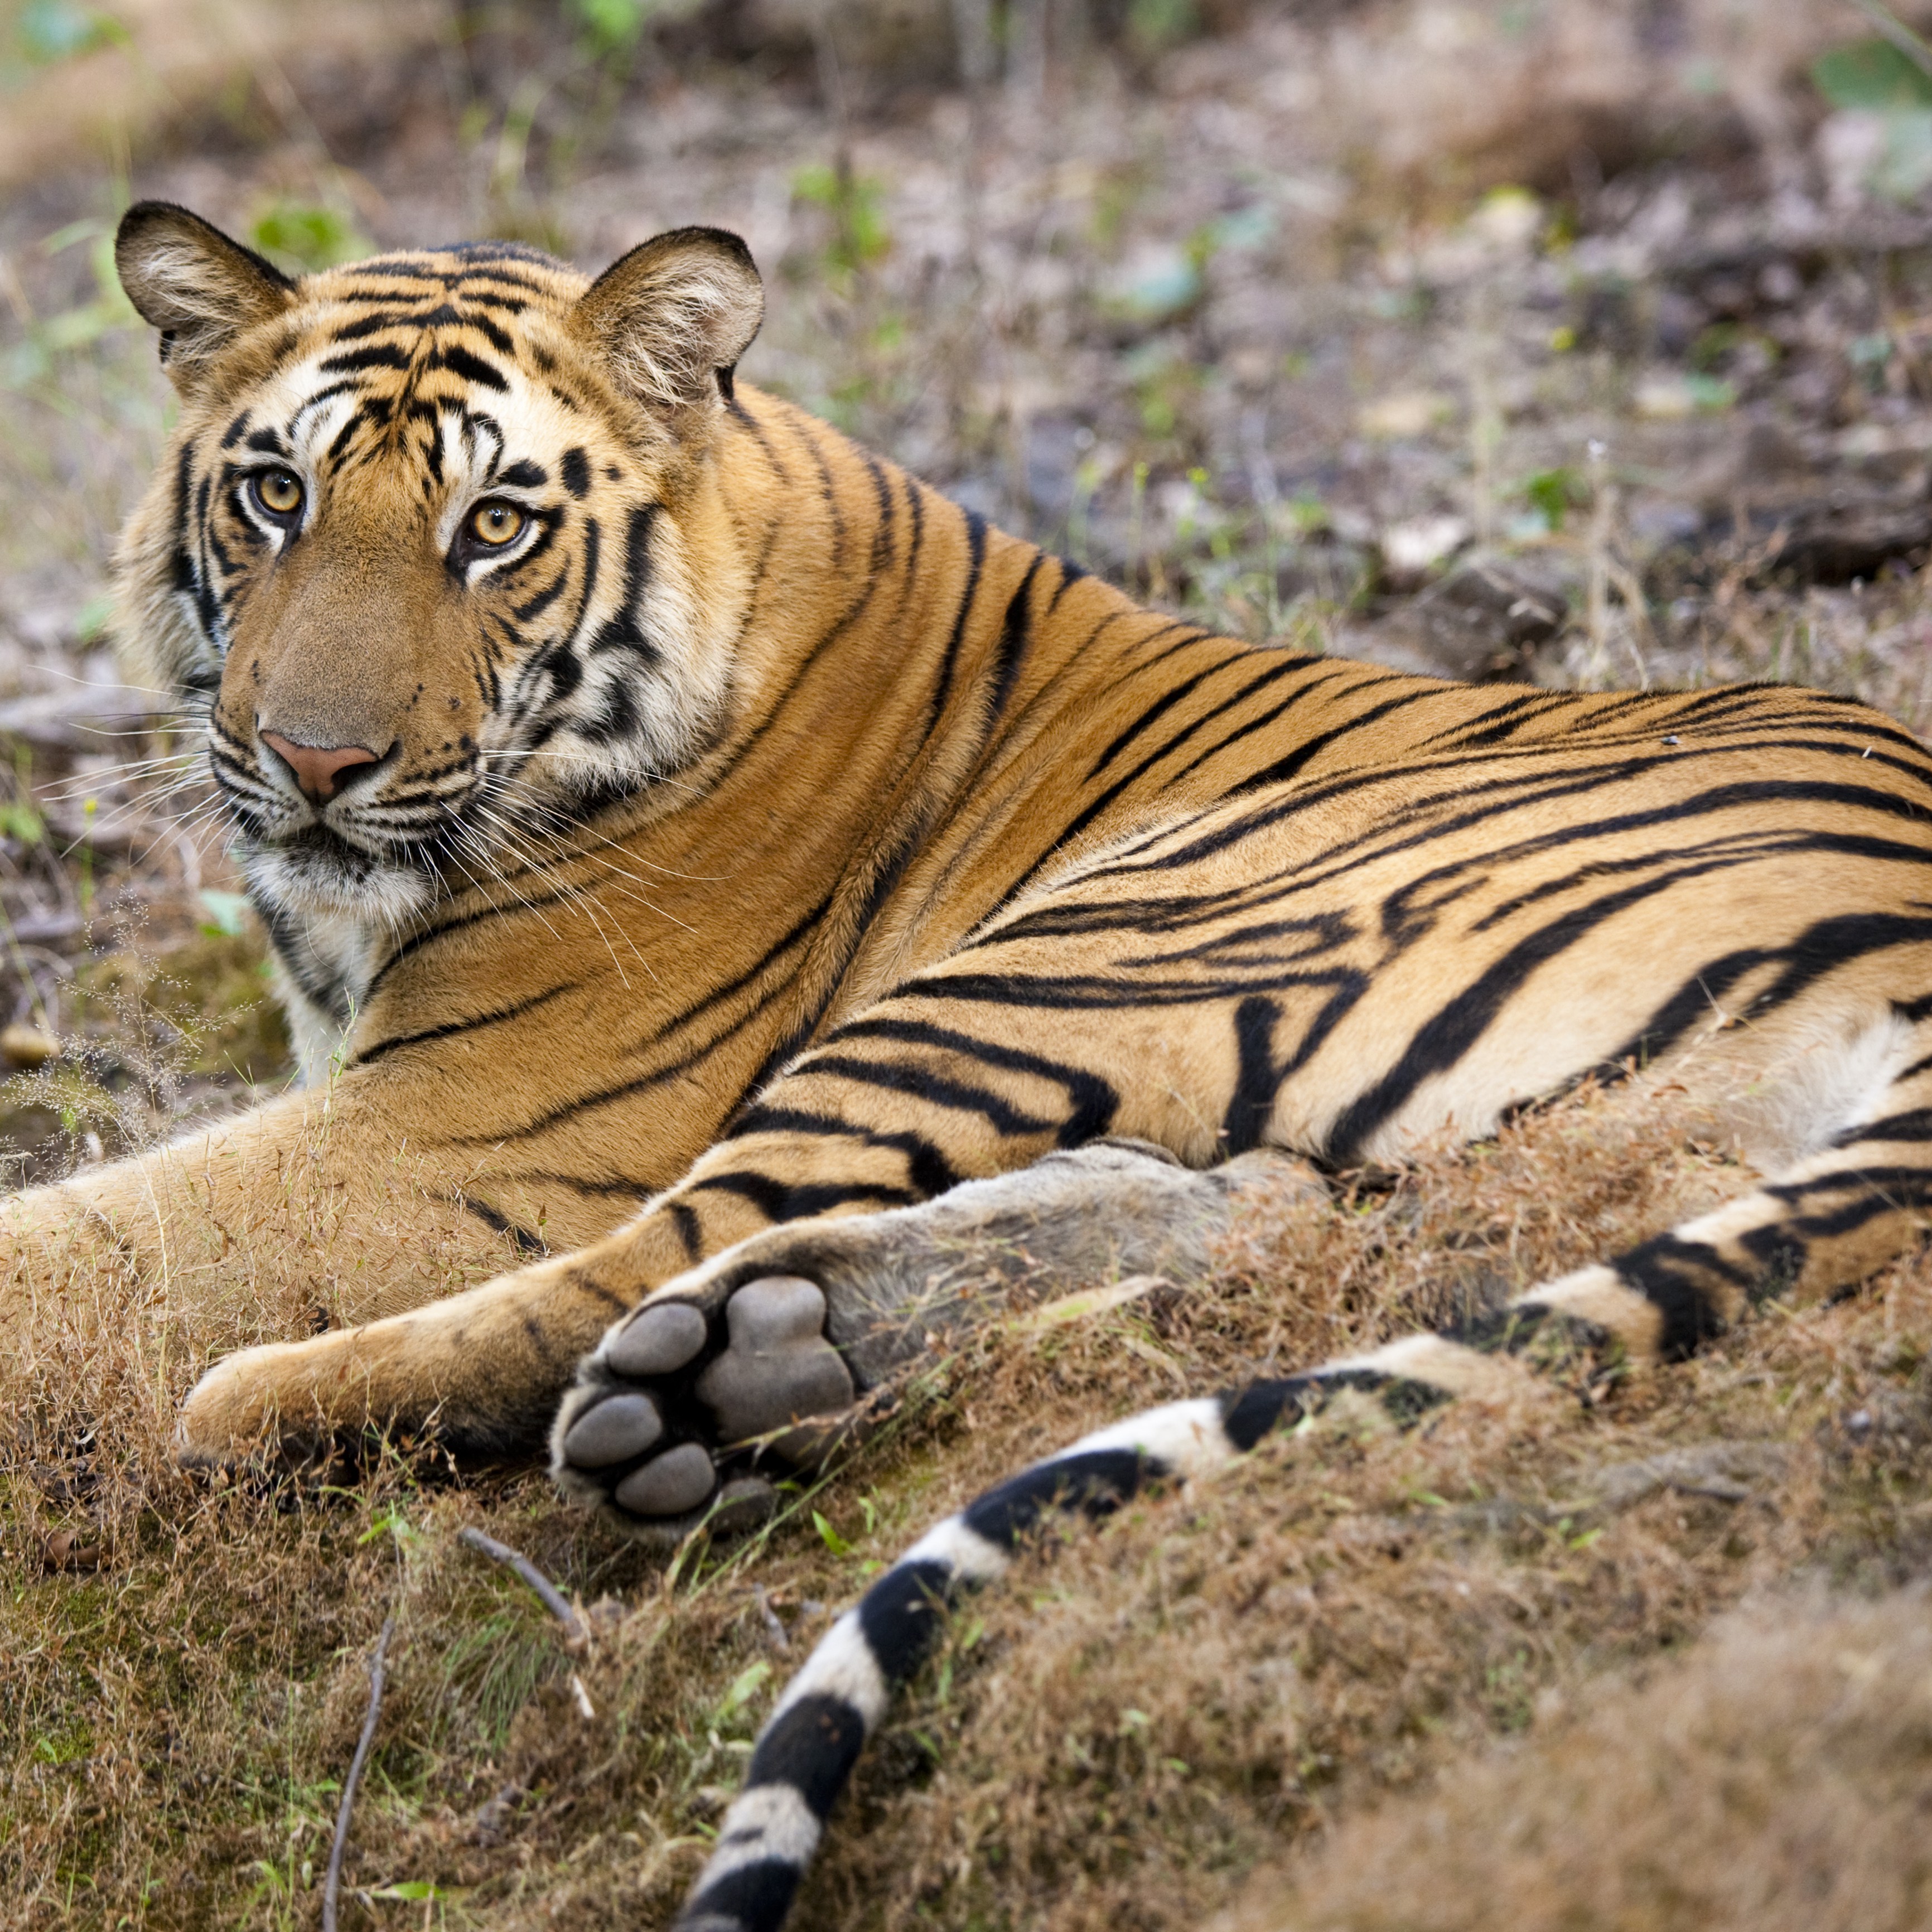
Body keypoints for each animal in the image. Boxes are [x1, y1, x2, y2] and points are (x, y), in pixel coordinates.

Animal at [1, 198, 1929, 1651]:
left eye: (495, 525)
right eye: (276, 496)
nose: (314, 762)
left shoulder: (468, 1132)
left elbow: (91, 1238)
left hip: (1108, 928)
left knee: (640, 1265)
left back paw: (341, 1405)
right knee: (1255, 1216)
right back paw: (783, 1358)